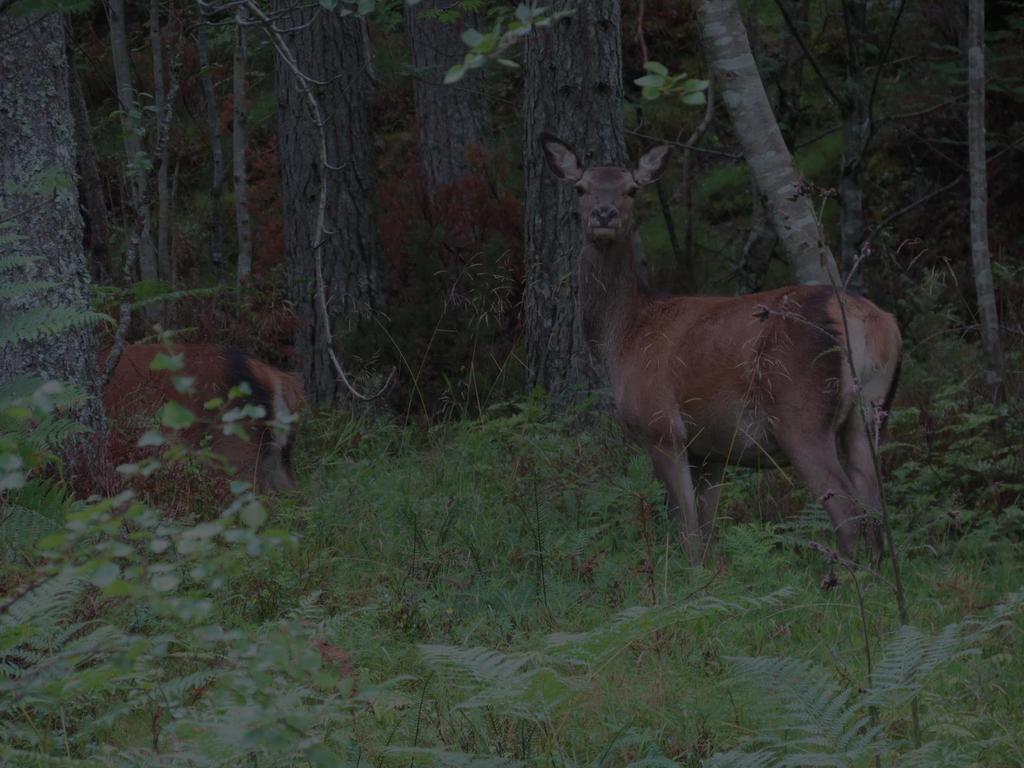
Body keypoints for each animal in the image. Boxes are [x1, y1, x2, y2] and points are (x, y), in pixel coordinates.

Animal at [540, 134, 901, 565]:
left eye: (631, 189)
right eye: (581, 187)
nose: (605, 214)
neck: (622, 335)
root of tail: (868, 323)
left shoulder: (662, 429)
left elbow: (688, 532)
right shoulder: (710, 451)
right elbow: (709, 530)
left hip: (800, 414)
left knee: (848, 514)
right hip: (871, 412)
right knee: (876, 511)